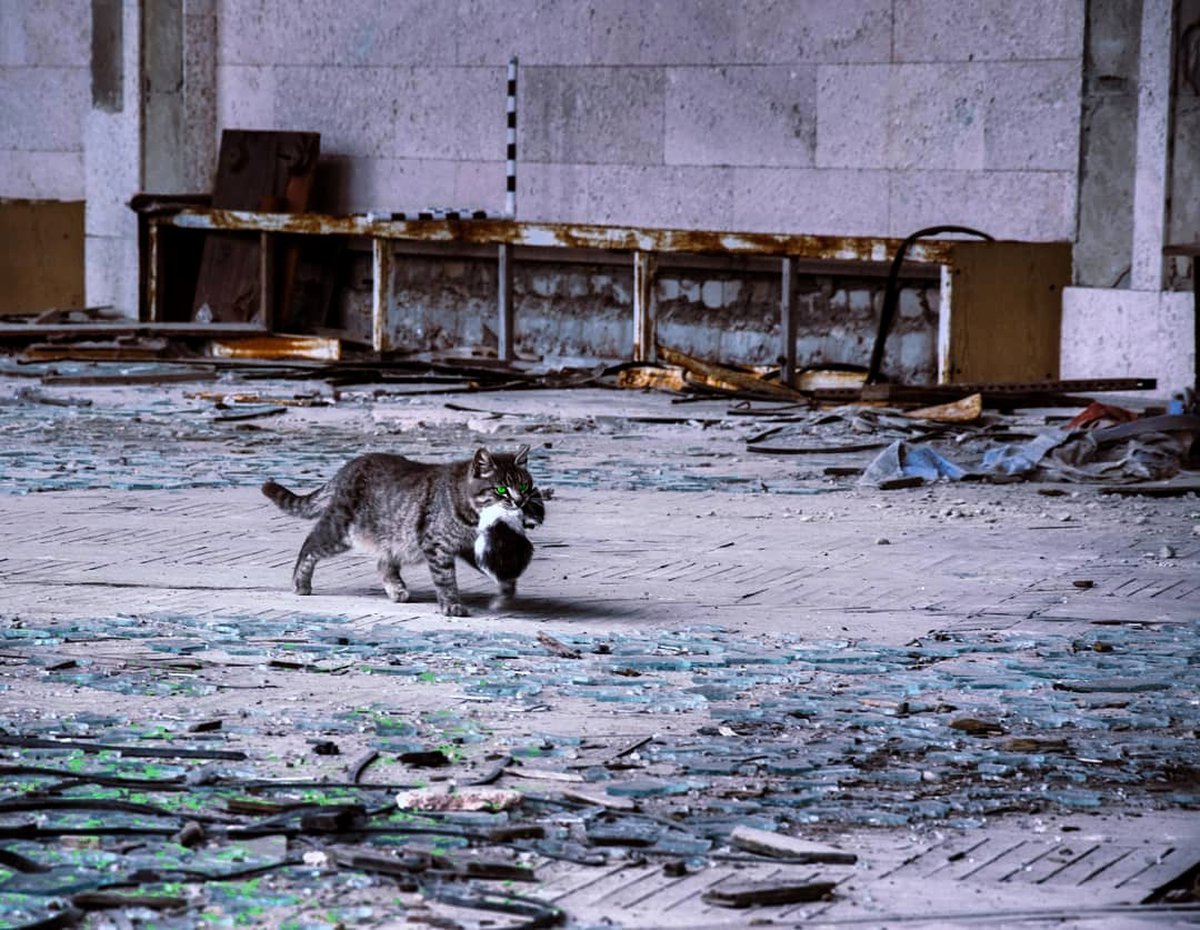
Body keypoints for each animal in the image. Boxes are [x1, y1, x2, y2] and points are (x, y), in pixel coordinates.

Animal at [266, 446, 544, 619]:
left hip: (394, 537)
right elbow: (446, 579)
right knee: (309, 545)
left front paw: (507, 587)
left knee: (383, 563)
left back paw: (396, 589)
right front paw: (451, 604)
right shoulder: (437, 544)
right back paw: (300, 582)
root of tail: (350, 465)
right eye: (501, 489)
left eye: (523, 486)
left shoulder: (467, 546)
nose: (519, 501)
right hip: (340, 530)